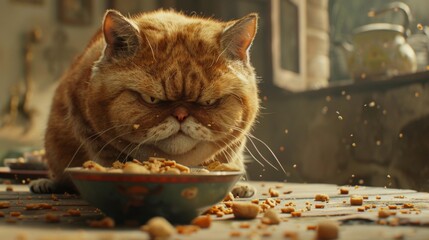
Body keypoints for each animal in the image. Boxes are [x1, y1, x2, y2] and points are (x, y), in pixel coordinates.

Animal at [30, 9, 260, 197]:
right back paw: (46, 183)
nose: (181, 114)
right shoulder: (84, 123)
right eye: (151, 99)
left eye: (209, 102)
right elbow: (107, 156)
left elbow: (226, 159)